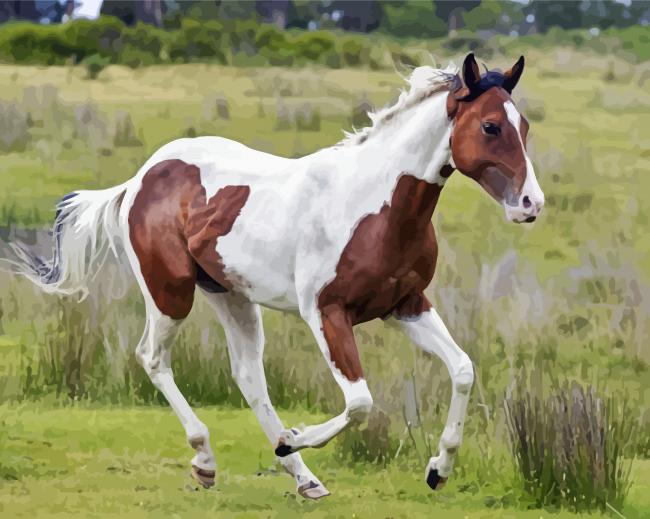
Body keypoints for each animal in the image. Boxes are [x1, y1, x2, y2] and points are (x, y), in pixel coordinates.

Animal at [5, 53, 540, 500]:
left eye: (525, 126)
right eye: (490, 126)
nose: (531, 205)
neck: (372, 204)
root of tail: (142, 177)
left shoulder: (405, 306)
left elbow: (463, 370)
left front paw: (438, 469)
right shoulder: (326, 313)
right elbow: (361, 401)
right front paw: (293, 438)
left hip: (232, 297)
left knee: (248, 377)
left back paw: (305, 479)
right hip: (170, 293)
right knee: (153, 358)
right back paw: (208, 460)